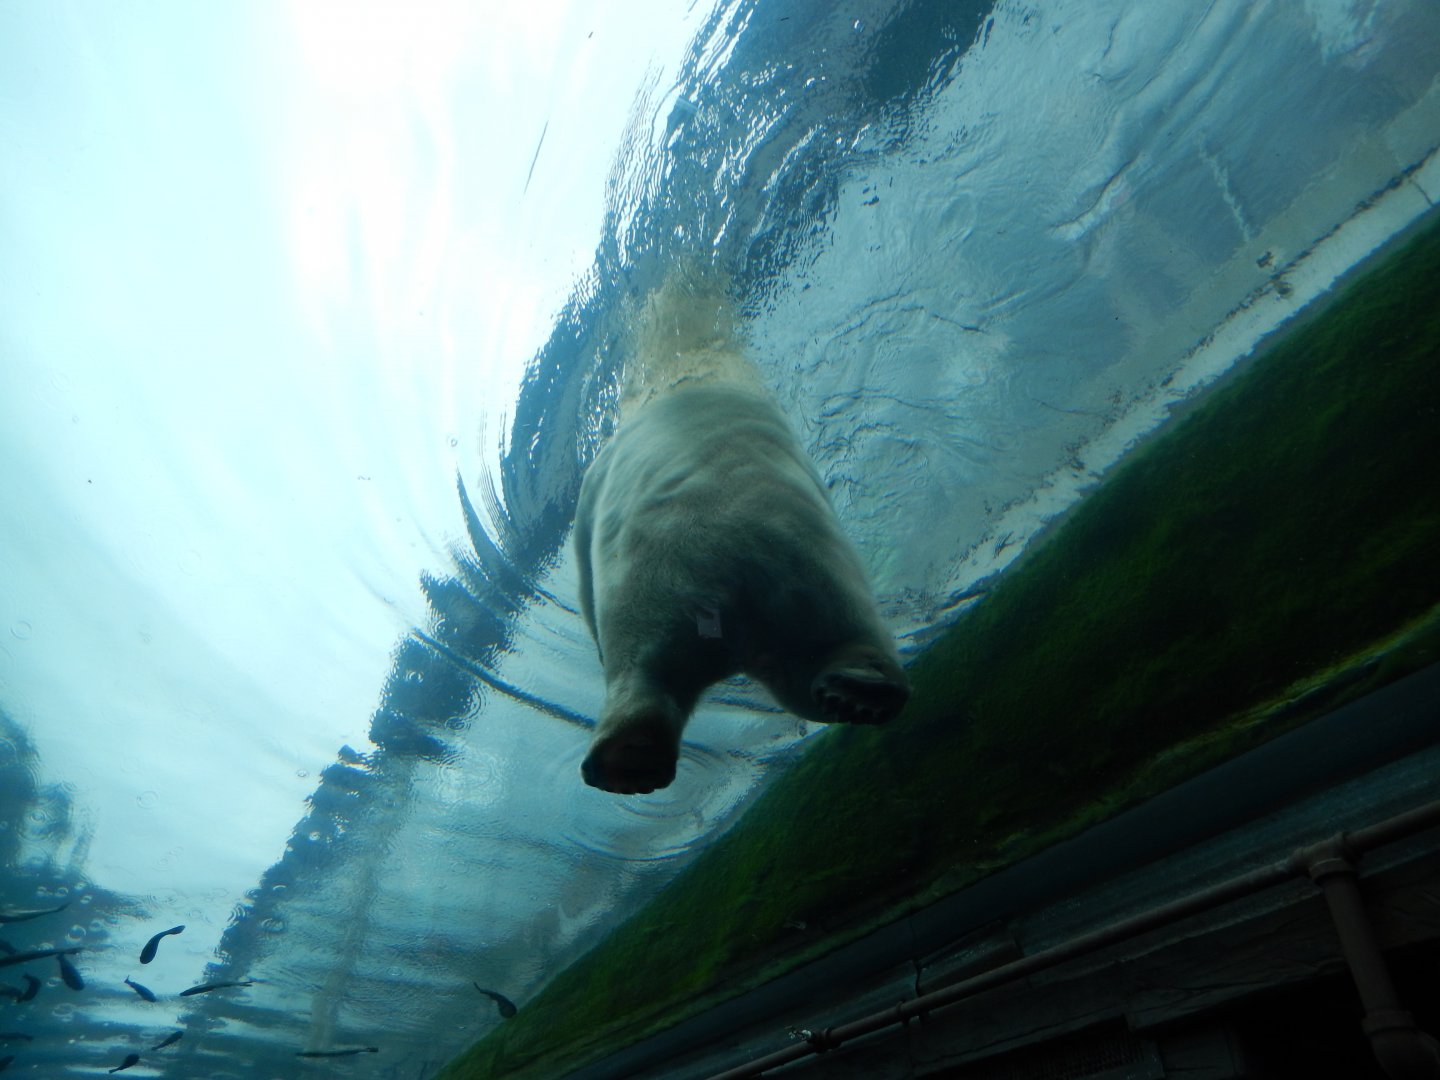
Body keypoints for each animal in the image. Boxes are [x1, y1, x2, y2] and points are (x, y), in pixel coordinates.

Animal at [573, 275, 909, 795]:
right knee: (826, 645)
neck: (694, 370)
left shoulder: (597, 480)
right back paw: (861, 688)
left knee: (642, 664)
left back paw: (626, 755)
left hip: (657, 580)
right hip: (811, 574)